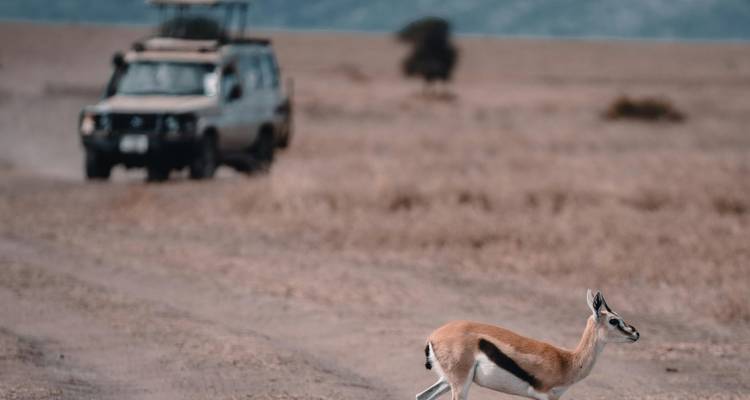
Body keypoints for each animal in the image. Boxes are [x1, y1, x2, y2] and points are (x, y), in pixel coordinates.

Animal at [417, 289, 639, 400]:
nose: (635, 334)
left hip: (448, 381)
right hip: (460, 385)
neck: (568, 361)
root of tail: (434, 336)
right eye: (614, 320)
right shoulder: (545, 397)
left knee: (421, 396)